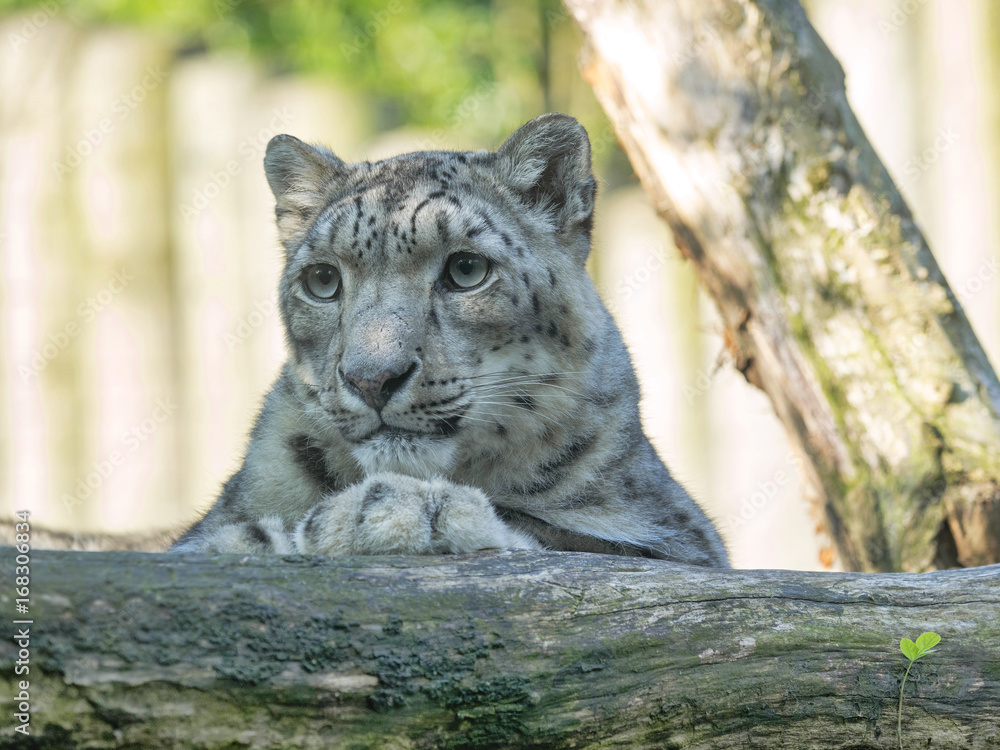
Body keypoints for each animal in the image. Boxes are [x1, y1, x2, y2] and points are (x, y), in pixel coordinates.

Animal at [170, 113, 729, 567]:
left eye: (466, 270)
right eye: (323, 280)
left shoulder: (681, 538)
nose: (372, 380)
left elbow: (567, 534)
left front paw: (388, 511)